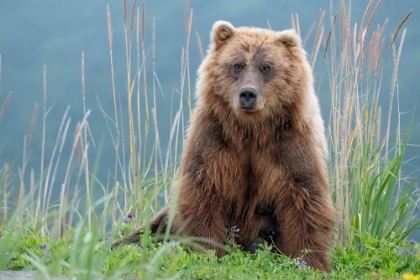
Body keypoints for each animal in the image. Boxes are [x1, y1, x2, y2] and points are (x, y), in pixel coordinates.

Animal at [111, 20, 334, 272]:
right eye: (237, 65)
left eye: (266, 67)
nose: (248, 94)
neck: (252, 130)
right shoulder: (214, 139)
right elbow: (203, 190)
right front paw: (207, 252)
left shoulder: (290, 145)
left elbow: (304, 197)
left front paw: (311, 261)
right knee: (153, 229)